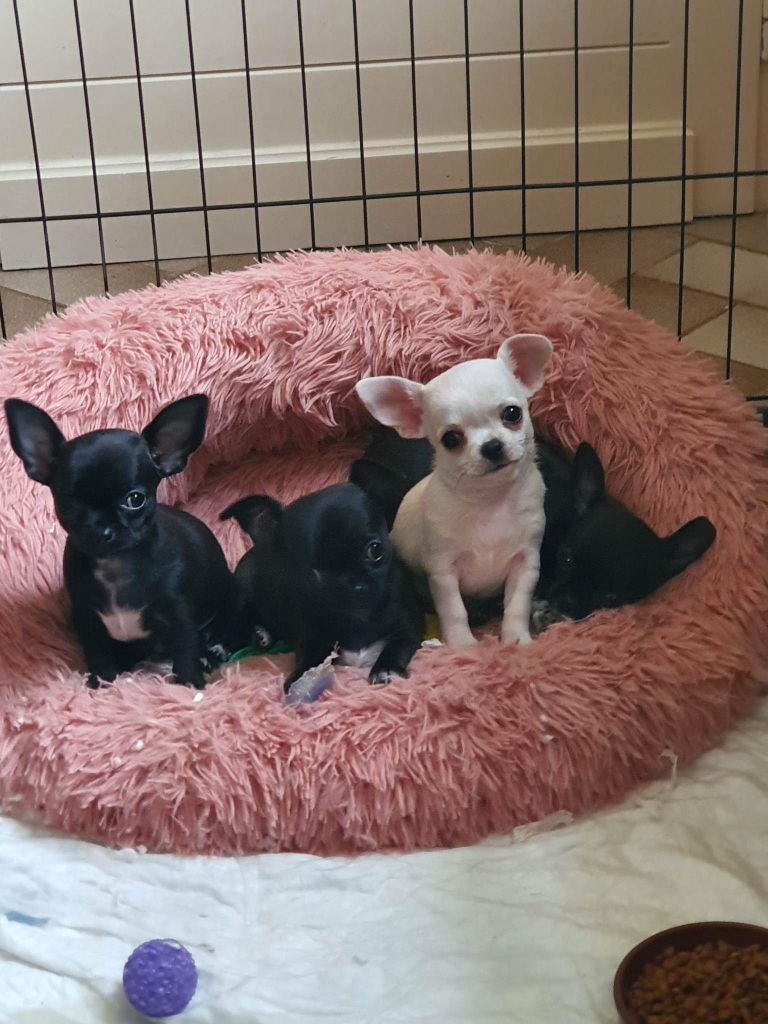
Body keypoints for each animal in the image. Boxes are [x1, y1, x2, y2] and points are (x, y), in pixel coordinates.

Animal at [4, 394, 237, 689]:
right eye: (67, 504)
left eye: (135, 499)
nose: (102, 530)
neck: (116, 565)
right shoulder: (88, 620)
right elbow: (99, 655)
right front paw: (102, 684)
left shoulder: (178, 615)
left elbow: (185, 651)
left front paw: (189, 684)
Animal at [221, 482, 424, 689]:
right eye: (312, 572)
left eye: (375, 550)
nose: (355, 585)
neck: (358, 617)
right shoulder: (310, 640)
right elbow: (308, 659)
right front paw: (300, 679)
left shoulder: (407, 630)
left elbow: (396, 647)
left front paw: (386, 668)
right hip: (240, 604)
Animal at [355, 334, 553, 648]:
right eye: (450, 439)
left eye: (512, 414)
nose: (492, 446)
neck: (490, 501)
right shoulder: (443, 572)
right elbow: (453, 609)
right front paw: (462, 645)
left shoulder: (526, 564)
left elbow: (517, 605)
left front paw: (516, 639)